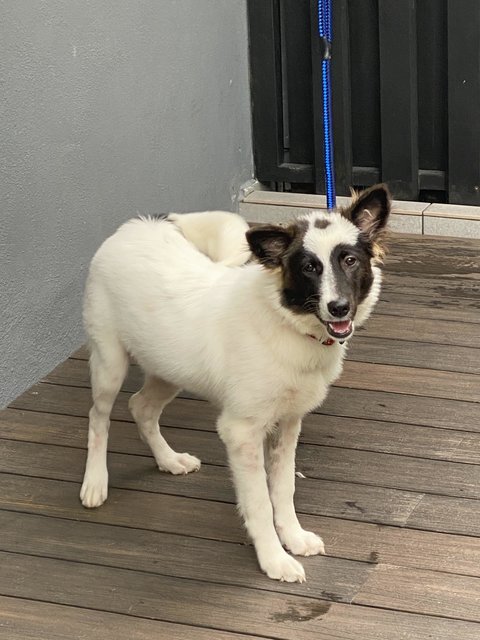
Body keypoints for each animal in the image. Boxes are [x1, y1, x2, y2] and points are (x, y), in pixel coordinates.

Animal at [80, 182, 392, 584]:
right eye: (309, 267)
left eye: (350, 261)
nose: (338, 308)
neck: (285, 323)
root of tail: (136, 224)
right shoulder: (241, 431)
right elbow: (259, 501)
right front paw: (274, 559)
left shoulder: (288, 423)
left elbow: (283, 488)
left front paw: (294, 538)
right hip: (110, 362)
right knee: (98, 417)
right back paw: (95, 482)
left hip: (169, 367)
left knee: (141, 407)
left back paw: (169, 460)